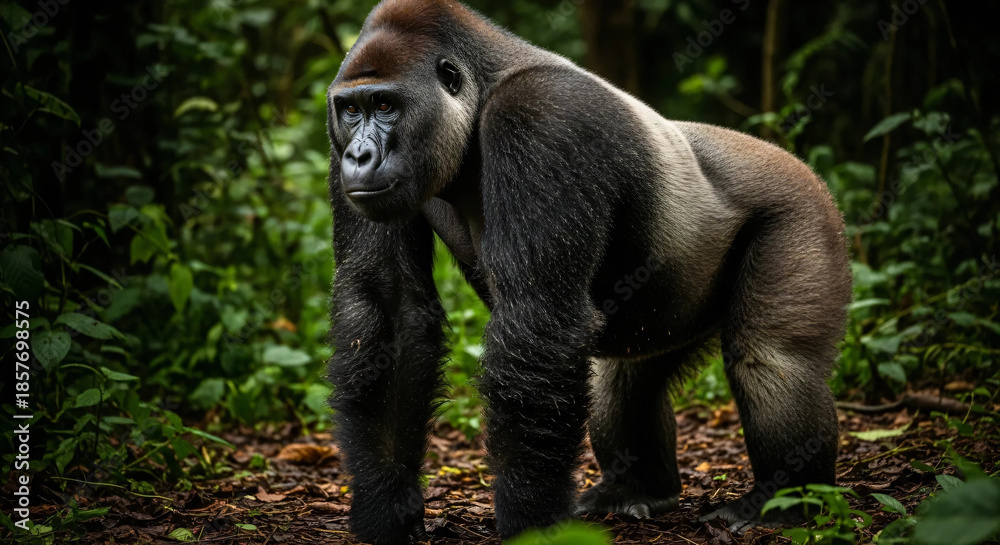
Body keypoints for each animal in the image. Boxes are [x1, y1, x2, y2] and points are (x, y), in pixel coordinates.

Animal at [325, 0, 852, 543]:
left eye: (385, 105)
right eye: (352, 110)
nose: (360, 155)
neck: (481, 93)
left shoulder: (542, 117)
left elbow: (537, 320)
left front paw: (529, 521)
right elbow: (390, 307)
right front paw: (386, 506)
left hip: (803, 209)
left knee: (769, 359)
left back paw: (785, 501)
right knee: (624, 379)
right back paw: (638, 490)